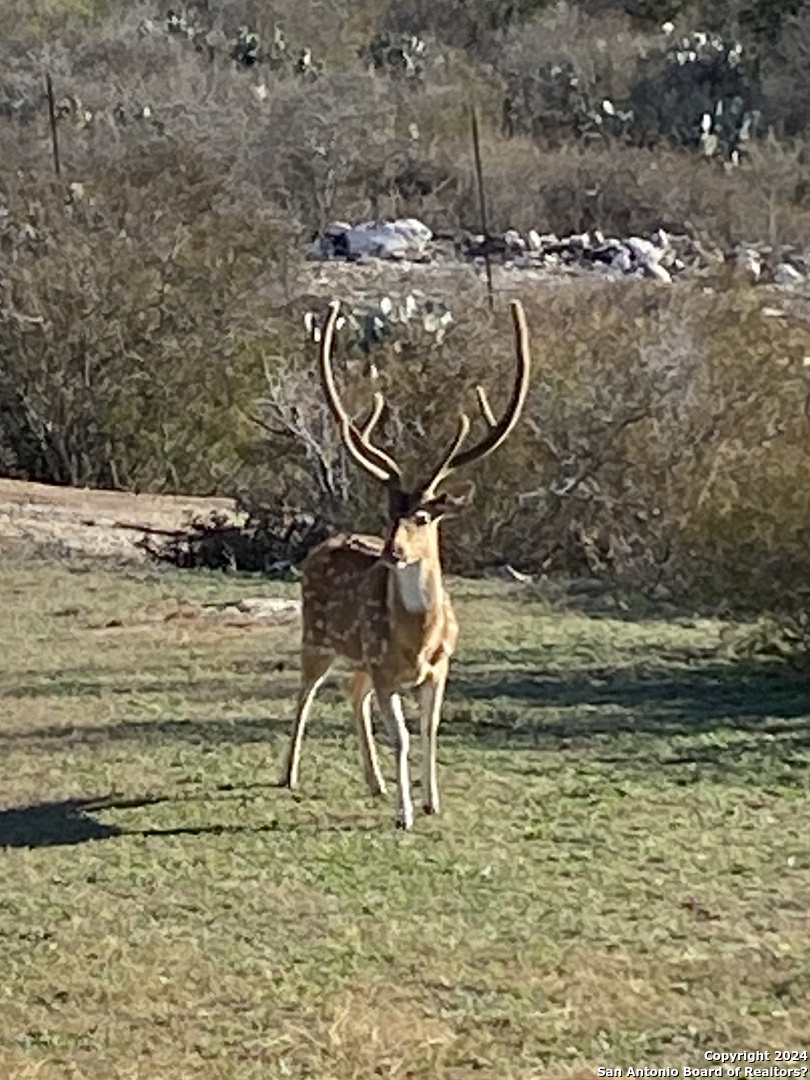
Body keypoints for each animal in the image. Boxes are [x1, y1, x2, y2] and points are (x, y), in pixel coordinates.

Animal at [278, 295, 533, 825]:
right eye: (388, 511)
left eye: (422, 515)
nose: (392, 551)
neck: (417, 642)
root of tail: (318, 549)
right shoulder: (385, 671)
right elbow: (402, 738)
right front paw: (405, 814)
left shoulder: (438, 668)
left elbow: (430, 732)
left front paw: (431, 801)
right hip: (317, 636)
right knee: (306, 690)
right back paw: (287, 774)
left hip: (357, 657)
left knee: (350, 693)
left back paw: (373, 782)